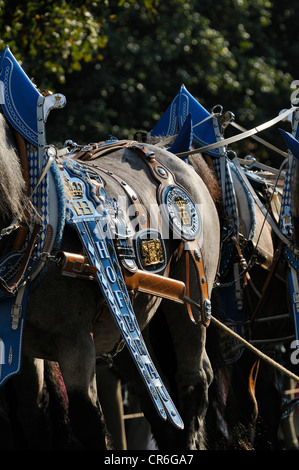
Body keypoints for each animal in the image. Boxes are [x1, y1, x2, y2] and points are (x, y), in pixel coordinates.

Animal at [0, 112, 220, 450]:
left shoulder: (75, 342)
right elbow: (32, 416)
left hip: (191, 301)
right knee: (153, 391)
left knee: (193, 380)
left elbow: (88, 420)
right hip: (133, 327)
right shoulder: (21, 350)